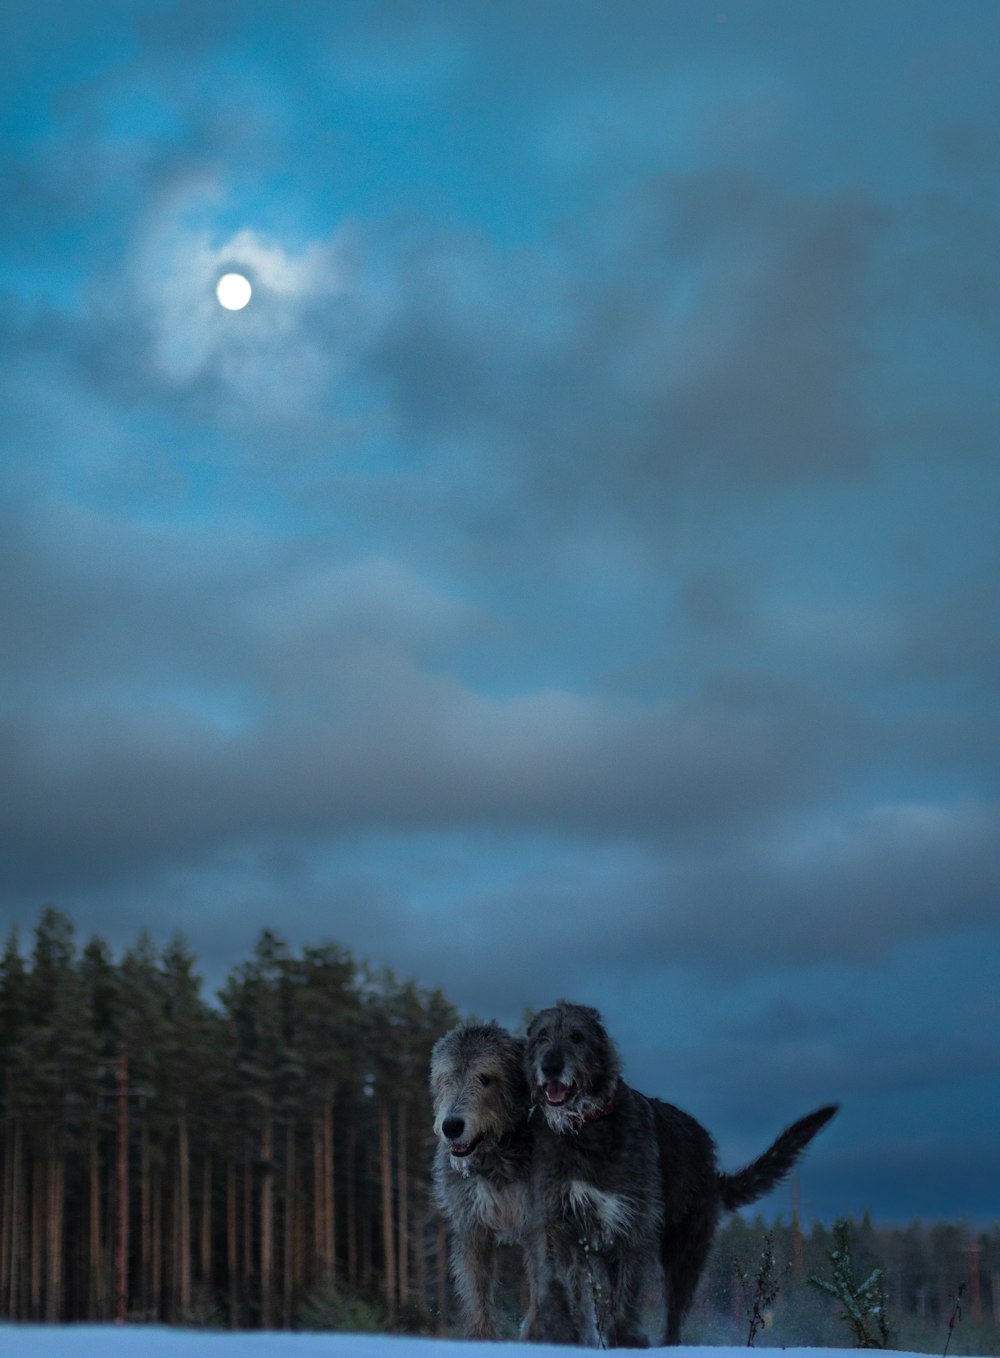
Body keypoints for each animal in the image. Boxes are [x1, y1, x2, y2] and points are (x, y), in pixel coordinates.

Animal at [429, 1021, 538, 1336]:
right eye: (445, 1078)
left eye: (485, 1078)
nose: (451, 1126)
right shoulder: (471, 1226)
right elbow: (477, 1292)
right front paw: (482, 1338)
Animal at [527, 999, 842, 1347]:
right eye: (541, 1037)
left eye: (576, 1037)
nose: (550, 1066)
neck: (587, 1129)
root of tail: (711, 1164)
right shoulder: (558, 1220)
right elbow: (559, 1283)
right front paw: (560, 1333)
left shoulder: (632, 1223)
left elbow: (626, 1295)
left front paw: (628, 1340)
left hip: (685, 1250)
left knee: (674, 1315)